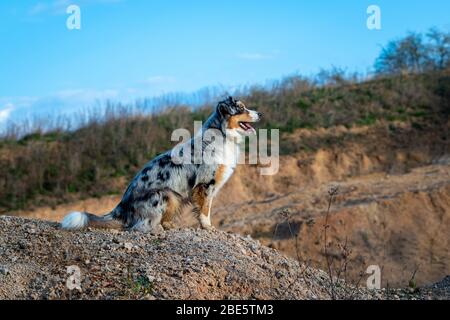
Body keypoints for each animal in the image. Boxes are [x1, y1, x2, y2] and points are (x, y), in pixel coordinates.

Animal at [61, 97, 262, 232]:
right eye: (241, 108)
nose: (260, 113)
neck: (222, 134)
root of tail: (121, 206)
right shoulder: (205, 184)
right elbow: (205, 210)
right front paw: (208, 227)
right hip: (163, 194)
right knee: (139, 226)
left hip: (174, 197)